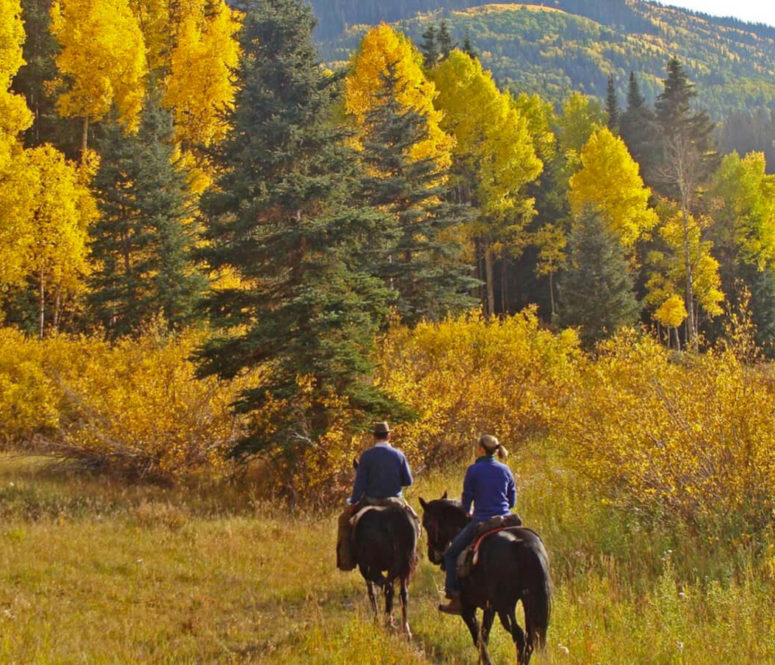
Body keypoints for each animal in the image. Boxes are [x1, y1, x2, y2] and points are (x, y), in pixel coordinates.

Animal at [354, 500, 422, 636]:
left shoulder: (365, 569)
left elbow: (372, 593)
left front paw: (376, 621)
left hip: (371, 569)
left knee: (387, 588)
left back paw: (388, 623)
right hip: (403, 569)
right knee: (402, 594)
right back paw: (404, 629)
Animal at [418, 492, 552, 664]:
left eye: (426, 523)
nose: (432, 556)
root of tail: (524, 545)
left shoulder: (467, 607)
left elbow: (478, 639)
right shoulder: (490, 608)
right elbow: (485, 635)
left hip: (506, 607)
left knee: (520, 637)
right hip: (528, 602)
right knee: (532, 639)